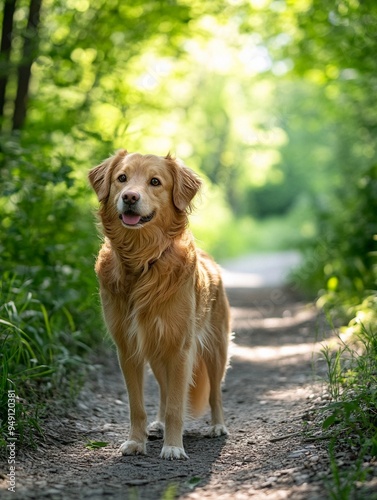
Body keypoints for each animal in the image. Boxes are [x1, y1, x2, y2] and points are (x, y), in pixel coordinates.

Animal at [89, 149, 229, 460]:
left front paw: (174, 446)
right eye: (122, 178)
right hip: (156, 353)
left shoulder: (180, 347)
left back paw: (217, 426)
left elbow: (178, 405)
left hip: (216, 348)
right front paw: (136, 441)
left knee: (215, 392)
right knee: (165, 391)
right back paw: (159, 424)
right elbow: (137, 406)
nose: (129, 196)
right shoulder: (128, 347)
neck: (142, 261)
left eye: (155, 182)